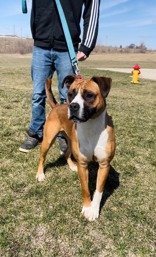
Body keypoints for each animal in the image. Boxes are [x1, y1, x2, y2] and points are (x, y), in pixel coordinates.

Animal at [36, 75, 115, 221]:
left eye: (89, 95)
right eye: (70, 94)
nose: (72, 106)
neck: (91, 126)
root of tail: (57, 106)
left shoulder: (104, 165)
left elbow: (99, 191)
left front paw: (94, 210)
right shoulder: (83, 165)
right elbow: (85, 188)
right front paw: (87, 208)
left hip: (70, 141)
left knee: (67, 153)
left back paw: (72, 166)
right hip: (48, 141)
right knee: (42, 157)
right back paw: (40, 174)